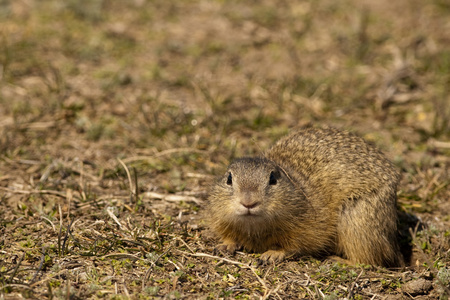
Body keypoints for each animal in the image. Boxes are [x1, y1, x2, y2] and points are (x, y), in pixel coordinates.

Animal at [207, 125, 404, 266]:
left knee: (369, 261)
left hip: (357, 222)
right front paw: (224, 245)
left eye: (273, 179)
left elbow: (294, 246)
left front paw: (271, 254)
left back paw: (336, 260)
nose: (248, 202)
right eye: (229, 178)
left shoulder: (308, 229)